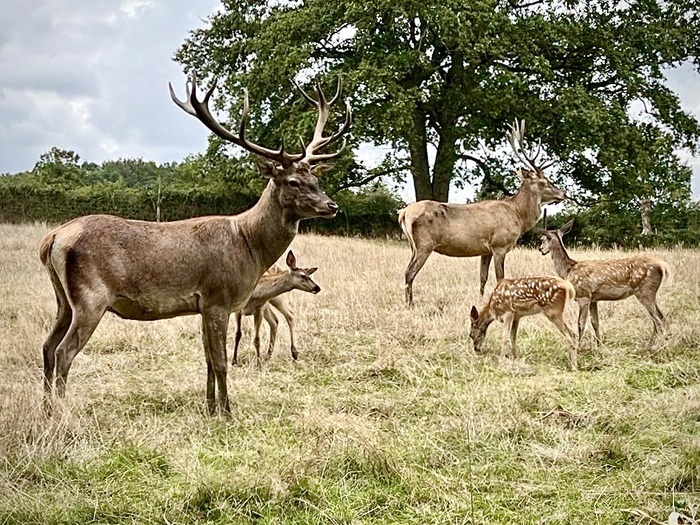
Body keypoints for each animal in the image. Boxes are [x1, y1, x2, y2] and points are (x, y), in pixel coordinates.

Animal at [39, 74, 350, 418]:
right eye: (293, 182)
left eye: (316, 180)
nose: (332, 206)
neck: (250, 247)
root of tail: (53, 238)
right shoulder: (219, 298)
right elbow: (221, 361)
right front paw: (228, 413)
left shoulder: (202, 305)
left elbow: (208, 361)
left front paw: (210, 407)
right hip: (90, 297)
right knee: (64, 352)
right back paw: (61, 414)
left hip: (64, 299)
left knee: (47, 346)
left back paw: (46, 409)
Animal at [400, 119, 568, 304]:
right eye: (545, 182)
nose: (563, 193)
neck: (518, 214)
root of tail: (403, 213)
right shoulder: (499, 245)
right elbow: (500, 278)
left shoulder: (485, 250)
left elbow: (483, 277)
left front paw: (480, 300)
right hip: (424, 244)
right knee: (409, 272)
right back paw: (410, 304)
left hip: (413, 245)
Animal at [540, 218, 668, 346]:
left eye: (542, 239)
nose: (540, 249)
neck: (568, 270)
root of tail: (662, 266)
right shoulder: (593, 299)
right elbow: (595, 323)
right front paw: (599, 345)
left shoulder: (583, 296)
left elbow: (581, 323)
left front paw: (580, 346)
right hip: (649, 292)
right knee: (660, 316)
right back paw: (653, 343)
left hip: (645, 290)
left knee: (658, 319)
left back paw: (659, 345)